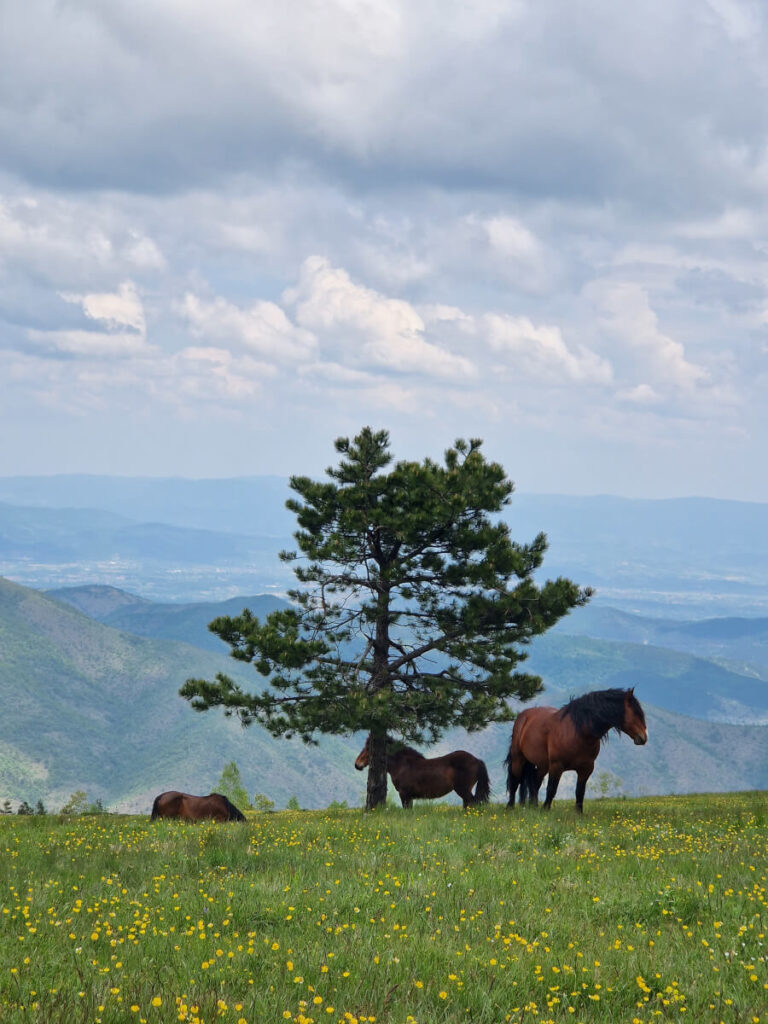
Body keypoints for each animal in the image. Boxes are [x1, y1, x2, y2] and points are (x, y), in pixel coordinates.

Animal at [356, 737, 493, 806]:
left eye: (368, 748)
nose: (357, 764)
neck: (402, 765)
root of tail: (476, 760)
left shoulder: (404, 794)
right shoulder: (409, 796)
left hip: (463, 789)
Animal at [505, 688, 651, 815]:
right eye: (636, 713)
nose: (643, 737)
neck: (579, 732)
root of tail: (524, 716)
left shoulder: (586, 769)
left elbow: (580, 792)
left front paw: (579, 813)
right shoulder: (557, 766)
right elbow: (551, 789)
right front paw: (546, 810)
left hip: (542, 765)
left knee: (535, 782)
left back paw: (534, 807)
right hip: (519, 759)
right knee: (515, 782)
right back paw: (510, 807)